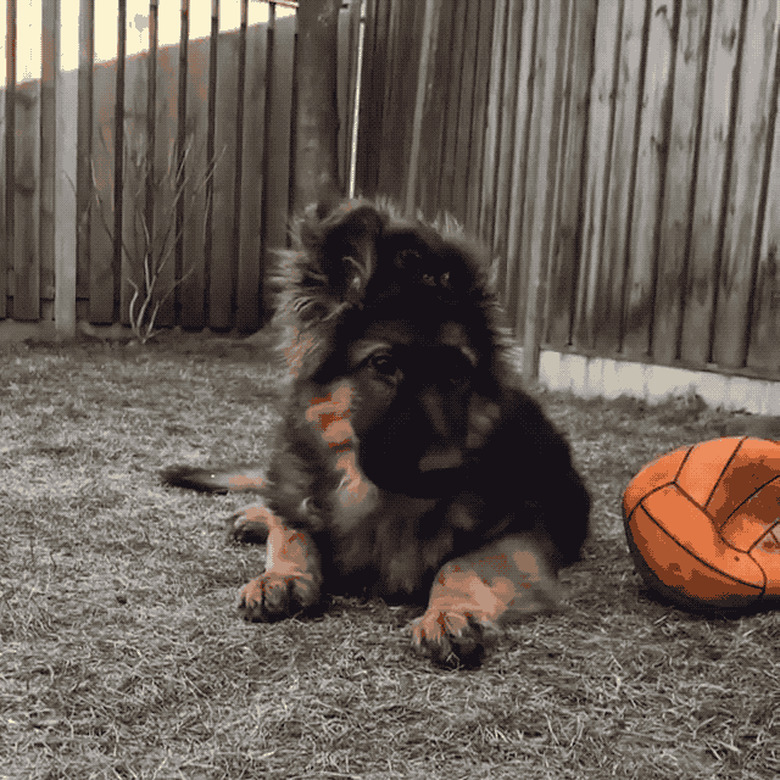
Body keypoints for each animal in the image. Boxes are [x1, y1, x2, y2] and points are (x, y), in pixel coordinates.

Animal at [165, 200, 592, 664]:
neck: (381, 504)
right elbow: (293, 531)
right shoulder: (303, 500)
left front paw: (450, 613)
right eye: (383, 364)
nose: (446, 470)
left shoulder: (525, 537)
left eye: (459, 372)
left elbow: (459, 564)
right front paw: (284, 575)